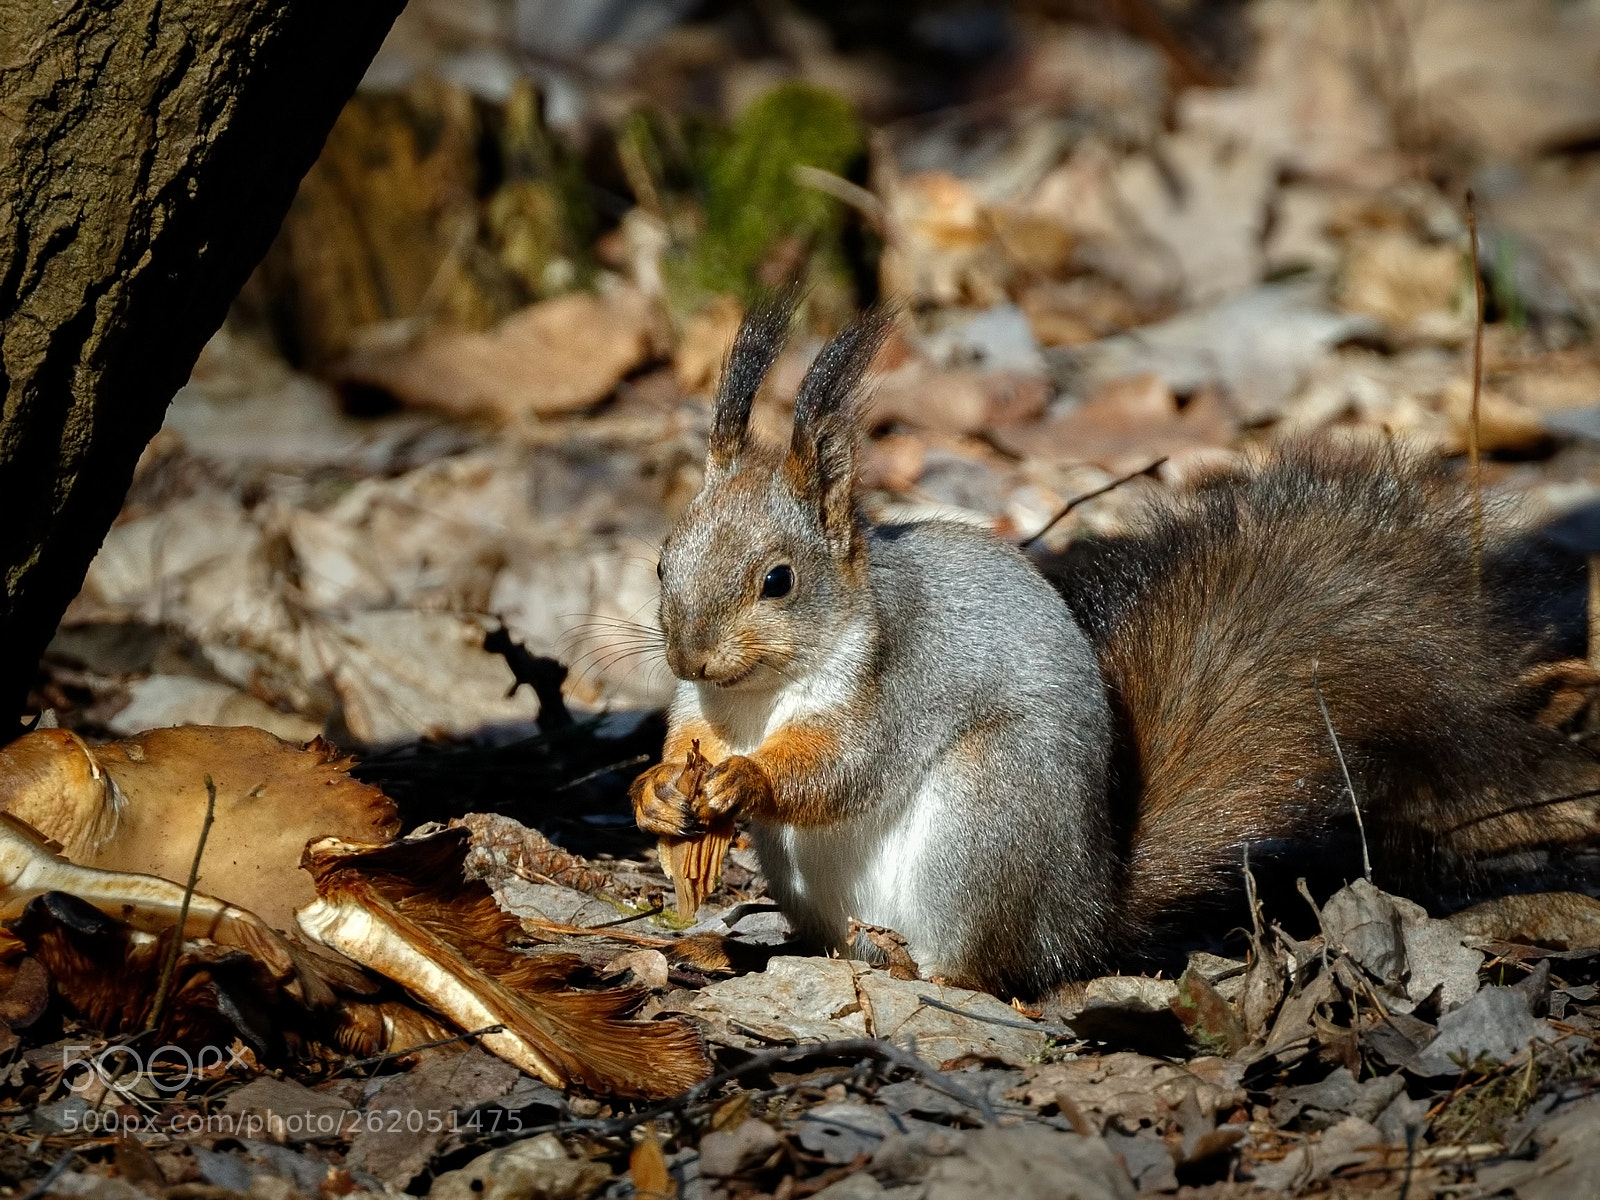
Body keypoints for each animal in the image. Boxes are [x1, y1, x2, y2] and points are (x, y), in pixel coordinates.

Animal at [630, 298, 1600, 998]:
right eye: (662, 559)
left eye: (778, 580)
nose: (688, 656)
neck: (758, 694)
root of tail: (1083, 917)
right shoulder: (702, 708)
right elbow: (684, 741)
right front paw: (656, 792)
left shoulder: (896, 681)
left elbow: (842, 769)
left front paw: (745, 780)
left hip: (989, 816)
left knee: (988, 972)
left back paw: (928, 969)